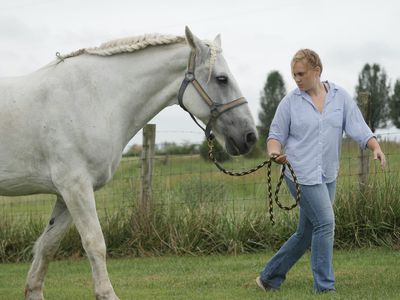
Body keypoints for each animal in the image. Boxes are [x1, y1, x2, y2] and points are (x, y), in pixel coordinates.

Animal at [0, 27, 256, 298]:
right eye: (221, 79)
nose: (250, 136)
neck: (95, 98)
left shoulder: (65, 193)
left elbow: (48, 244)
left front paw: (34, 291)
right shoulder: (75, 187)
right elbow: (94, 242)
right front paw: (106, 293)